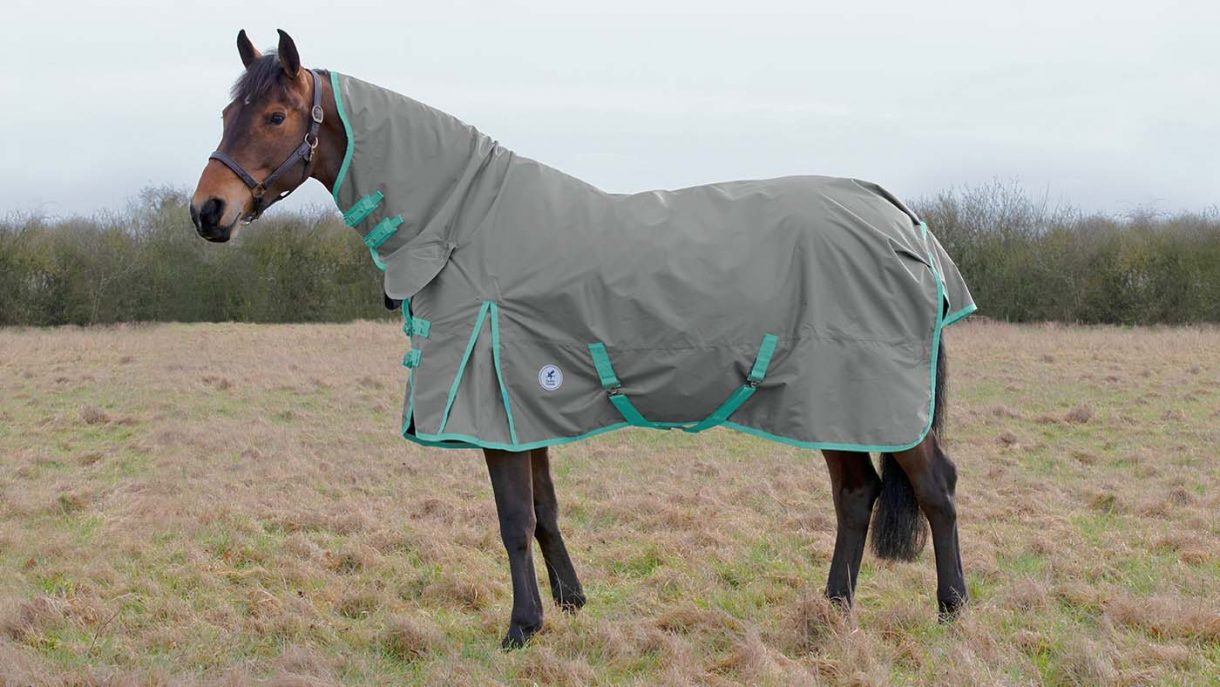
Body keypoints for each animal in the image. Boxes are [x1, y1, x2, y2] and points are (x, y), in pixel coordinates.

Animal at [190, 29, 969, 649]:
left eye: (276, 115)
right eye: (228, 112)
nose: (207, 211)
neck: (466, 223)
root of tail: (903, 220)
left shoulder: (492, 405)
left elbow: (511, 519)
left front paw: (520, 627)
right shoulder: (520, 403)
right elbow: (543, 512)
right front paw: (568, 604)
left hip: (871, 398)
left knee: (935, 486)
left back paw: (952, 610)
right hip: (833, 403)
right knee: (857, 495)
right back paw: (832, 610)